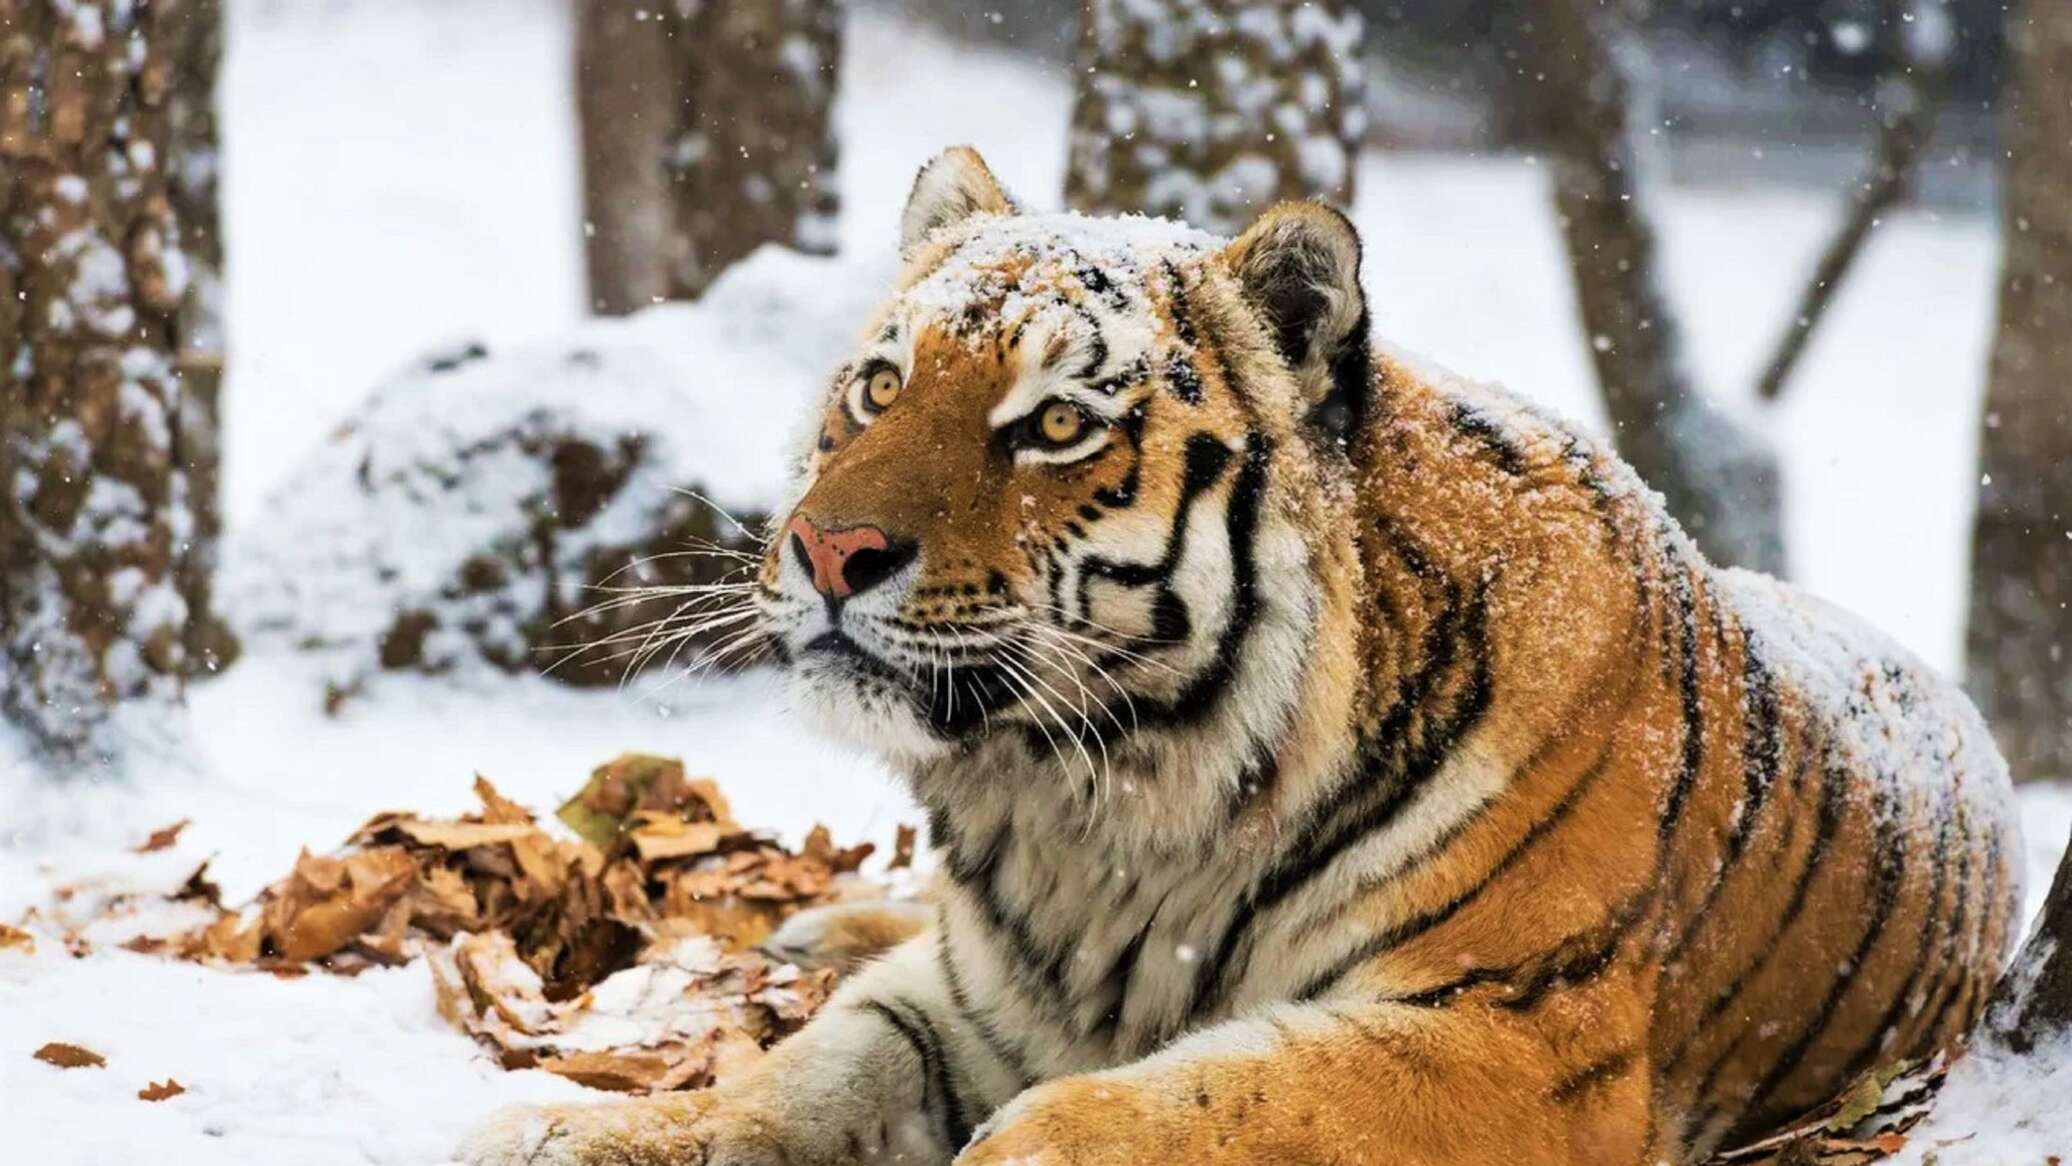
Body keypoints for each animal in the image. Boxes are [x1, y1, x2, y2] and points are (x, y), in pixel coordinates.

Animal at [457, 148, 2022, 1166]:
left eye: (1056, 425)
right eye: (881, 386)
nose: (829, 548)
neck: (1118, 808)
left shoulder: (1511, 1037)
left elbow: (1163, 1108)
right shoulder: (968, 993)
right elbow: (805, 1072)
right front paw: (577, 1125)